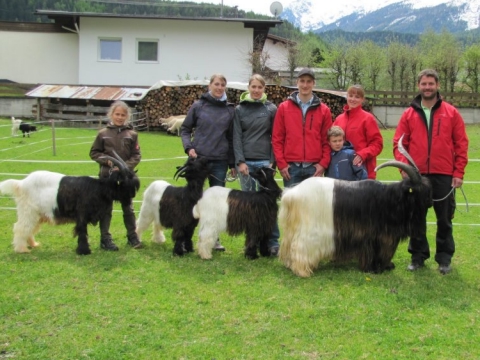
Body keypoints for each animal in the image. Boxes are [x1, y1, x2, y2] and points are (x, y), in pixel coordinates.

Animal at [0, 152, 139, 256]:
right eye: (125, 179)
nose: (133, 193)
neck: (99, 188)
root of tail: (21, 184)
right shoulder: (81, 214)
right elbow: (82, 231)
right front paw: (84, 251)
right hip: (29, 211)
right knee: (20, 227)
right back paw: (21, 249)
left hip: (37, 214)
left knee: (29, 228)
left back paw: (33, 244)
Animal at [278, 150, 432, 278]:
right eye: (418, 191)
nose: (431, 202)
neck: (388, 200)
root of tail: (292, 194)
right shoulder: (374, 236)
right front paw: (374, 268)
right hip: (310, 230)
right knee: (300, 245)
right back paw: (303, 271)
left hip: (292, 228)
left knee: (288, 244)